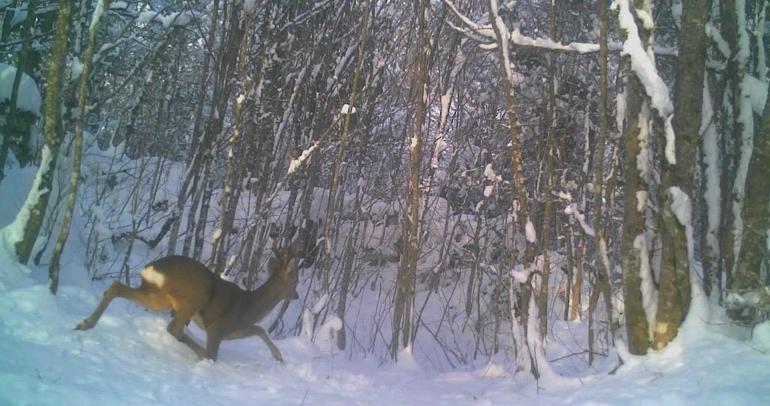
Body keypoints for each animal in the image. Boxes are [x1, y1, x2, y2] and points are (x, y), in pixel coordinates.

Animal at [73, 244, 296, 362]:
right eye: (295, 281)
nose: (297, 296)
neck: (251, 306)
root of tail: (152, 268)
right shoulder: (218, 328)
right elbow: (215, 352)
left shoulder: (234, 330)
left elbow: (259, 328)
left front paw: (278, 356)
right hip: (194, 297)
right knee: (174, 328)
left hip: (158, 297)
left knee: (116, 286)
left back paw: (84, 324)